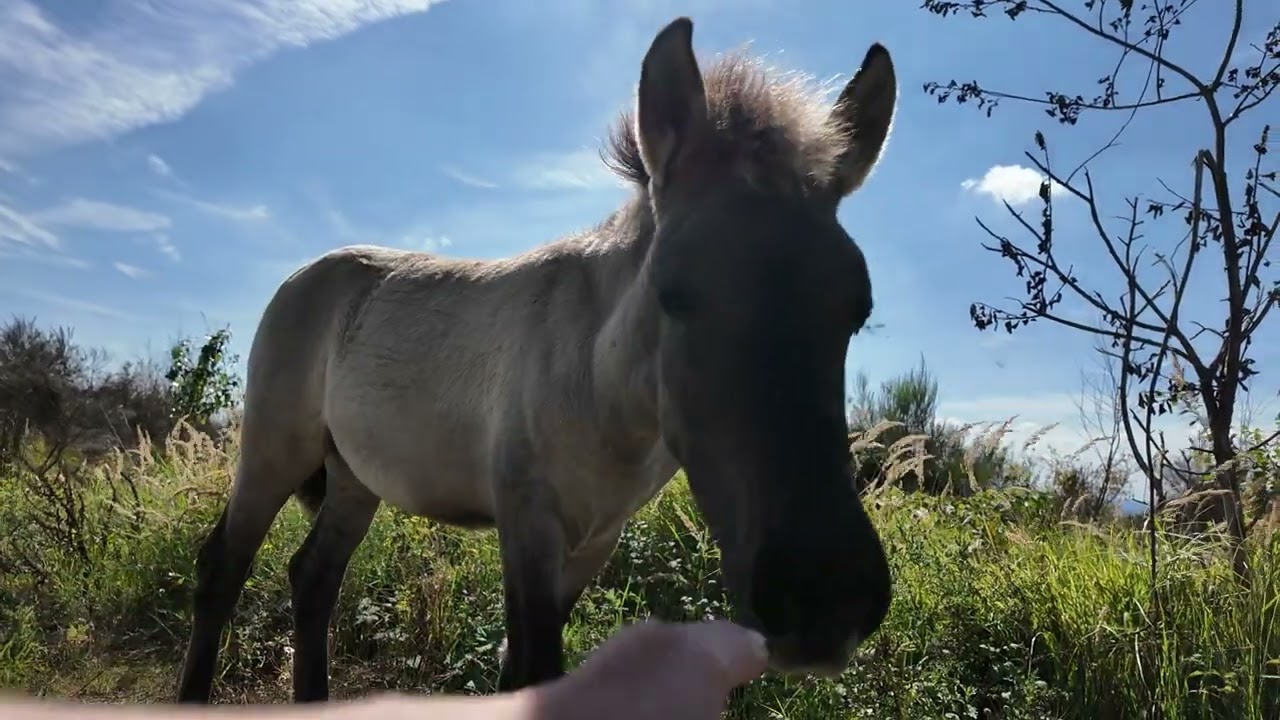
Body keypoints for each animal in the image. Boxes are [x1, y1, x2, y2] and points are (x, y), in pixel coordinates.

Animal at [176, 16, 899, 703]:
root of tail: (308, 276)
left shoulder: (596, 539)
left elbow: (518, 673)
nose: (825, 603)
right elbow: (534, 667)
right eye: (673, 291)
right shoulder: (528, 521)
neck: (599, 386)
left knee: (315, 577)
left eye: (857, 307)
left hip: (355, 477)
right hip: (274, 450)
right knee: (223, 570)